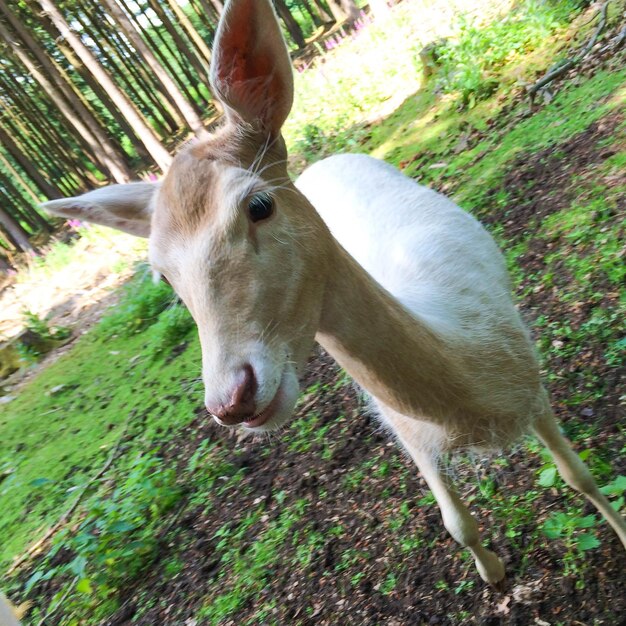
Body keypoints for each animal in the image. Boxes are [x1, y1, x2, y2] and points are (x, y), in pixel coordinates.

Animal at [41, 0, 620, 584]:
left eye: (258, 205)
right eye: (162, 274)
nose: (231, 400)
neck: (475, 374)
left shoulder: (533, 384)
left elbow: (580, 477)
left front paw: (616, 534)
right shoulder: (406, 431)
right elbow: (456, 523)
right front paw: (493, 574)